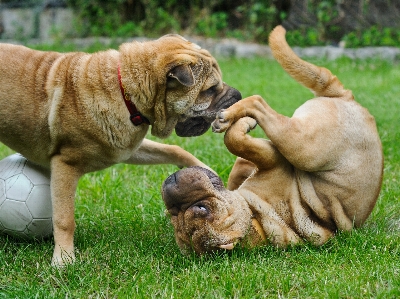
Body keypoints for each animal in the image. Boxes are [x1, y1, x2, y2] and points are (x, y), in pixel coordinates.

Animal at [0, 35, 241, 268]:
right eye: (210, 90)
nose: (238, 95)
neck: (125, 90)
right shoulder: (65, 165)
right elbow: (64, 219)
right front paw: (63, 260)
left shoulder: (125, 148)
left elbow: (173, 149)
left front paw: (208, 172)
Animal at [162, 26, 384, 255]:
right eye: (173, 215)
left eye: (202, 208)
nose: (171, 183)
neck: (256, 220)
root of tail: (346, 97)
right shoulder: (272, 160)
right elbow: (234, 140)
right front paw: (243, 124)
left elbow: (236, 147)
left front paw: (242, 126)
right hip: (302, 146)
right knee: (259, 103)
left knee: (257, 104)